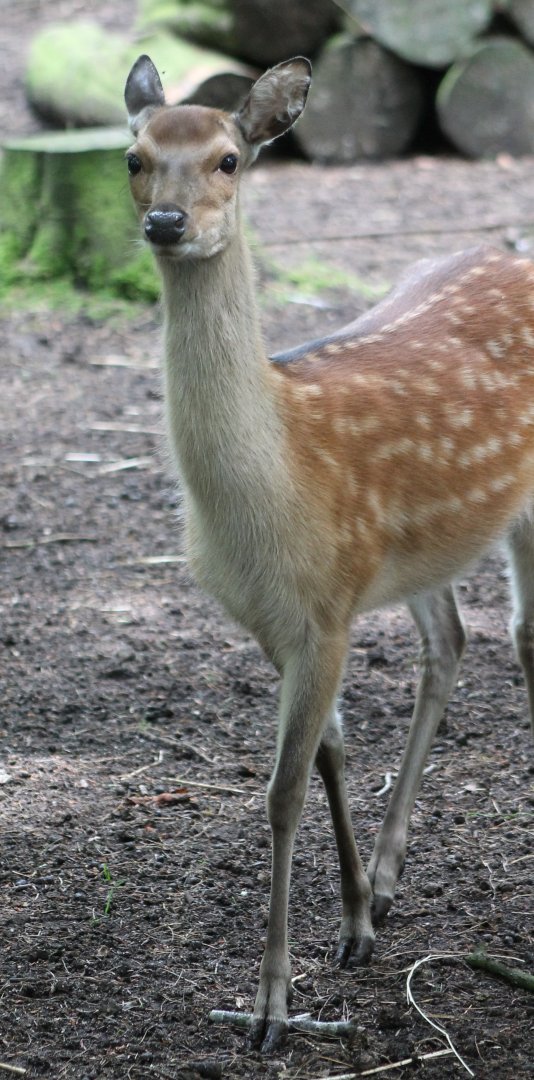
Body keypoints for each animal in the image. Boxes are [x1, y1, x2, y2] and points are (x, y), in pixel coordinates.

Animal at [124, 55, 534, 1053]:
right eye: (133, 158)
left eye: (230, 159)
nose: (167, 222)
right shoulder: (288, 617)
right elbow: (331, 755)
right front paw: (352, 921)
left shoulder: (329, 607)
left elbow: (280, 793)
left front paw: (272, 1007)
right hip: (425, 552)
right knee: (452, 642)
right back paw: (386, 880)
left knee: (525, 636)